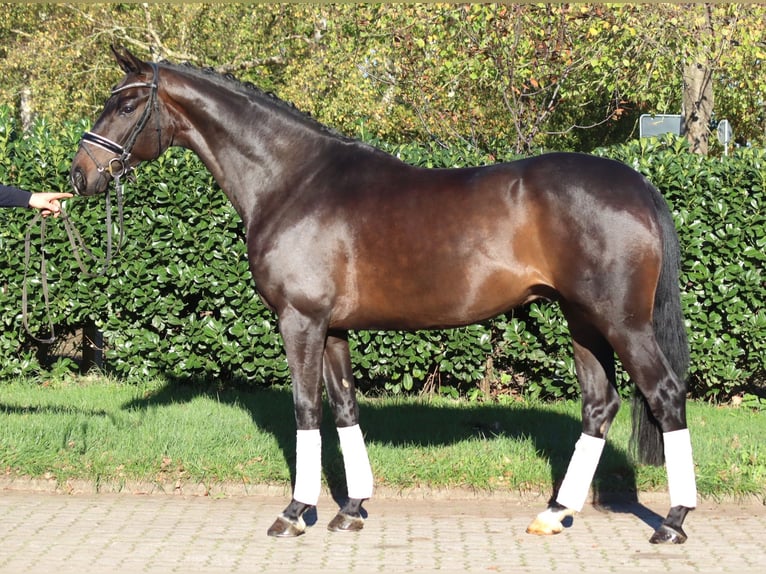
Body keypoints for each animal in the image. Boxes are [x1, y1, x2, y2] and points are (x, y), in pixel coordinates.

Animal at [70, 46, 696, 544]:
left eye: (125, 105)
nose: (80, 175)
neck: (292, 180)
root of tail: (638, 185)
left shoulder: (299, 320)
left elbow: (306, 409)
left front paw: (295, 512)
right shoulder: (333, 327)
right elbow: (345, 407)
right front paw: (352, 508)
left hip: (622, 322)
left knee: (665, 395)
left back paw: (673, 522)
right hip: (582, 319)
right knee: (599, 405)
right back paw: (555, 513)